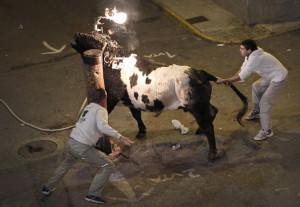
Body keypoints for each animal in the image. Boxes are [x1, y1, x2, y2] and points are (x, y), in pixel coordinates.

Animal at [71, 32, 248, 162]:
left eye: (88, 37)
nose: (76, 35)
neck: (111, 60)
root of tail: (199, 72)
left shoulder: (112, 98)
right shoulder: (132, 101)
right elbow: (136, 115)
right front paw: (141, 131)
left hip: (196, 106)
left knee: (208, 127)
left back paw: (212, 153)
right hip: (201, 104)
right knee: (212, 111)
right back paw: (199, 131)